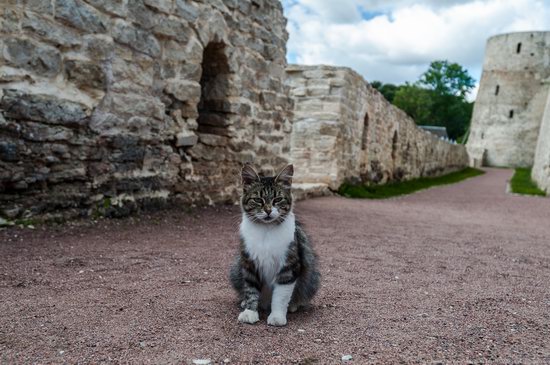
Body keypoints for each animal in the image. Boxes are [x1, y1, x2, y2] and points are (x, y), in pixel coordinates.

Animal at [230, 164, 324, 326]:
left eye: (278, 199)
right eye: (258, 199)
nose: (268, 210)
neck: (266, 231)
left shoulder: (288, 267)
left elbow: (281, 295)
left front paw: (277, 316)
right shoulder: (249, 264)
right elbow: (251, 291)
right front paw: (250, 312)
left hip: (311, 278)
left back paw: (293, 305)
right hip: (236, 269)